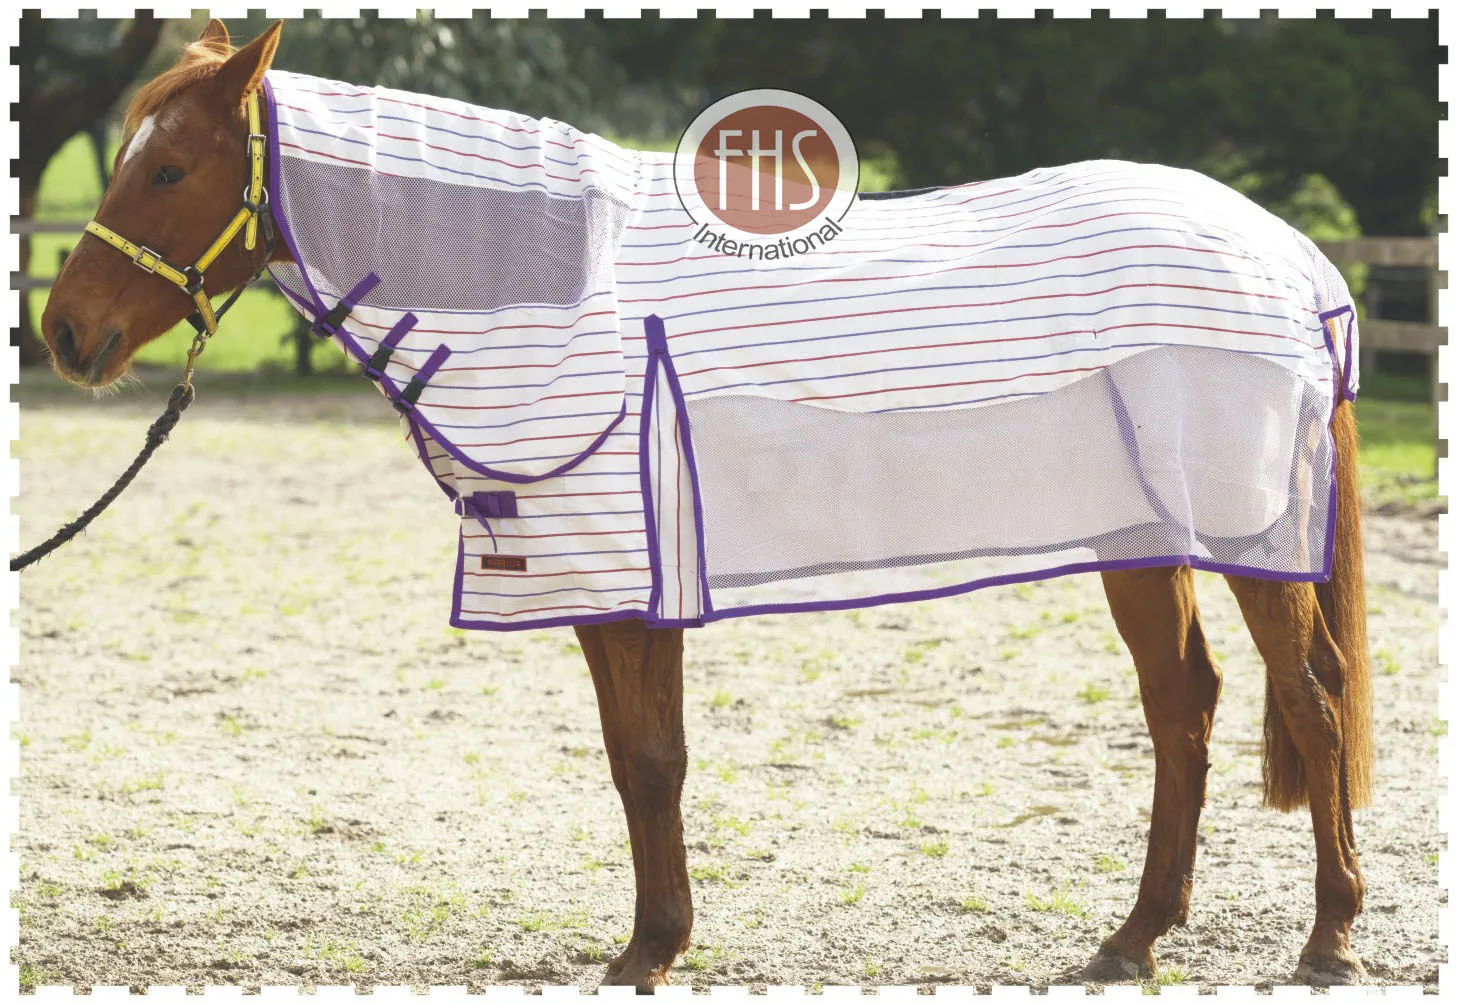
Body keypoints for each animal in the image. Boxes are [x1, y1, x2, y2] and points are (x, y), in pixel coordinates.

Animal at [38, 19, 1373, 988]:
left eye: (168, 166)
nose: (63, 333)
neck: (562, 295)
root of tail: (1287, 255)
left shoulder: (626, 581)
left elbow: (649, 760)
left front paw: (650, 950)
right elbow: (641, 761)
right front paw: (652, 939)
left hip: (1242, 542)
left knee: (1309, 702)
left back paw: (1326, 939)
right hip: (1139, 544)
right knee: (1183, 707)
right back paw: (1134, 938)